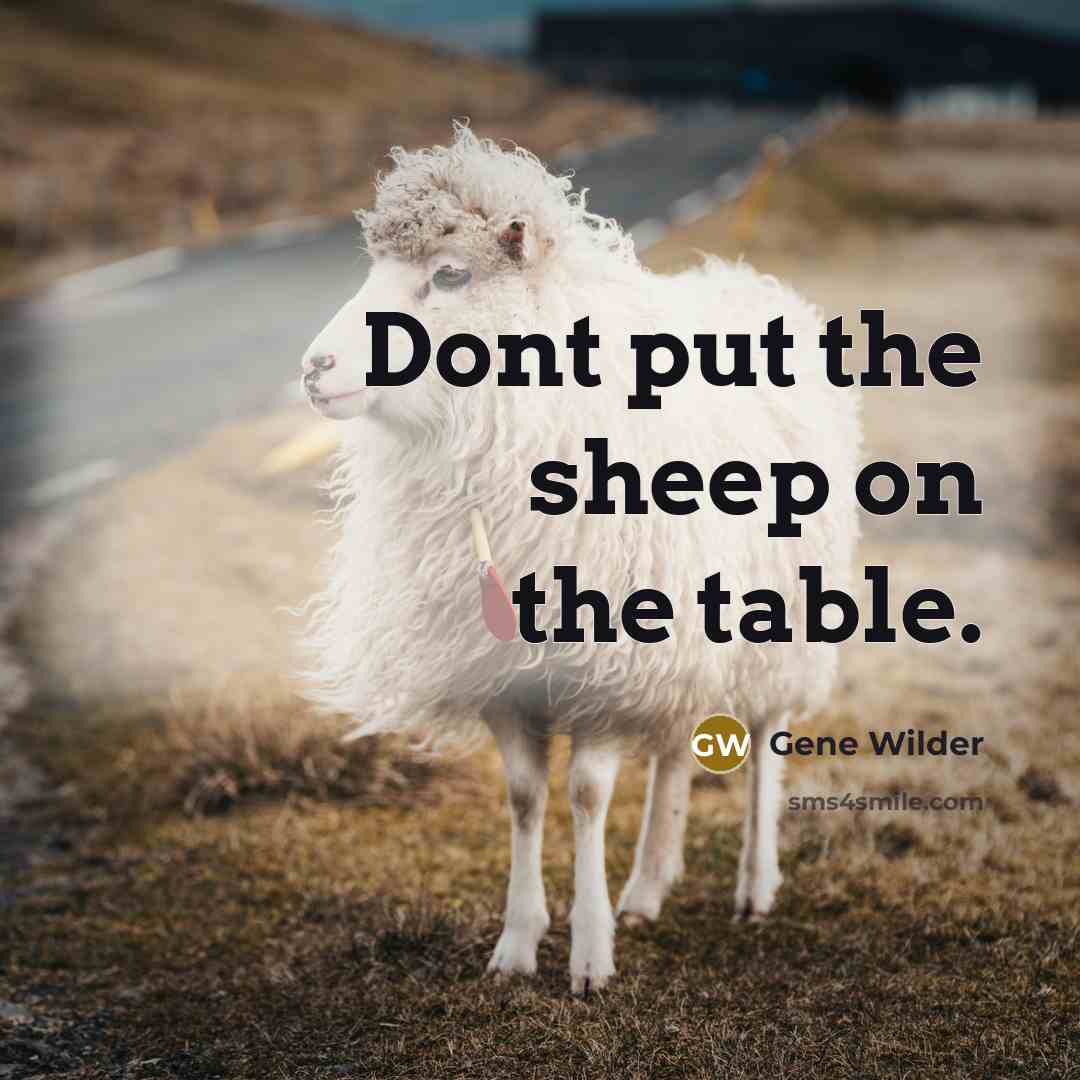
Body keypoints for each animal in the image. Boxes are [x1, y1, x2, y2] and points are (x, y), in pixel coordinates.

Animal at [300, 123, 860, 993]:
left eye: (450, 274)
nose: (315, 369)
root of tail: (749, 283)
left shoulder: (609, 660)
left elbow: (589, 796)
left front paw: (591, 955)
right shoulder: (502, 669)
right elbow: (526, 797)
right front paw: (518, 943)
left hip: (783, 620)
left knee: (765, 738)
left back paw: (753, 885)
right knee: (676, 747)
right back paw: (650, 884)